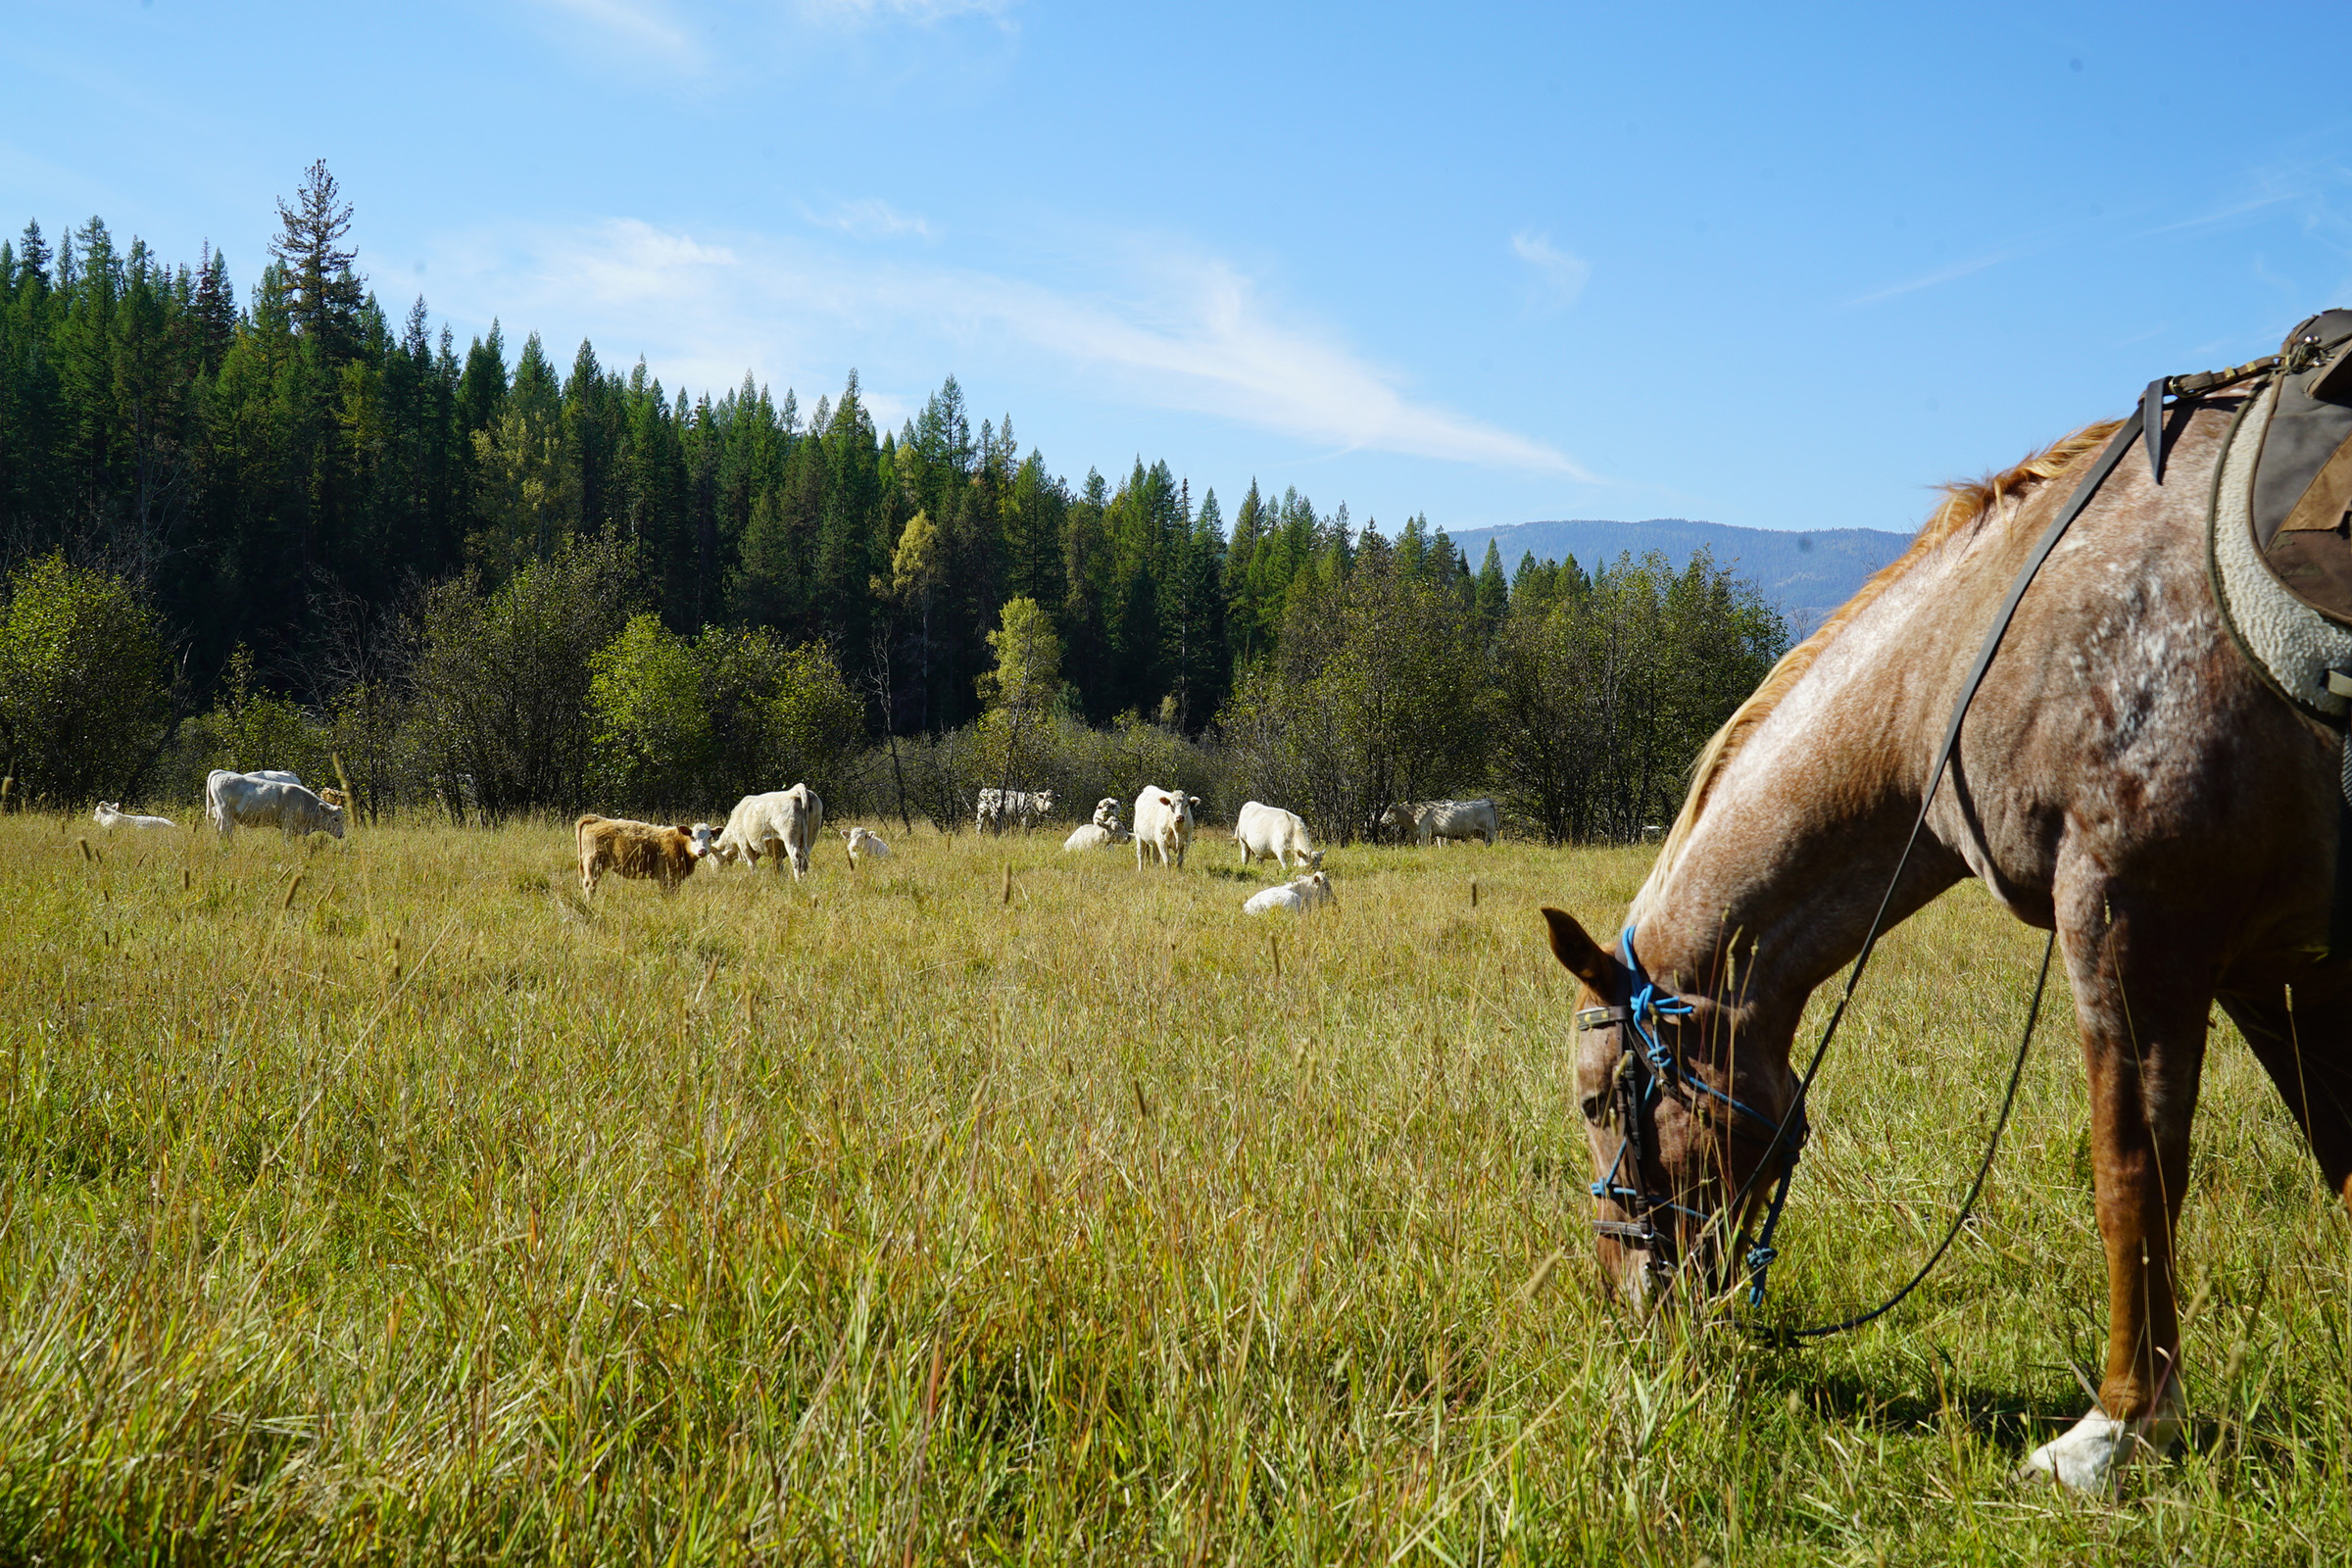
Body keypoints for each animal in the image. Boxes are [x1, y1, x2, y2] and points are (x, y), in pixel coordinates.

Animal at [205, 772, 346, 842]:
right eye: (336, 819)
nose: (341, 835)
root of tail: (220, 774)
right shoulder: (288, 823)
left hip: (221, 815)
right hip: (226, 814)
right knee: (225, 831)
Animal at [1539, 383, 2352, 1495]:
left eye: (1595, 1101)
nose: (1628, 1304)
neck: (1983, 642)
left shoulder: (2131, 924)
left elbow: (2132, 1176)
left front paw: (2119, 1427)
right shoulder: (2280, 972)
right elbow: (2341, 1157)